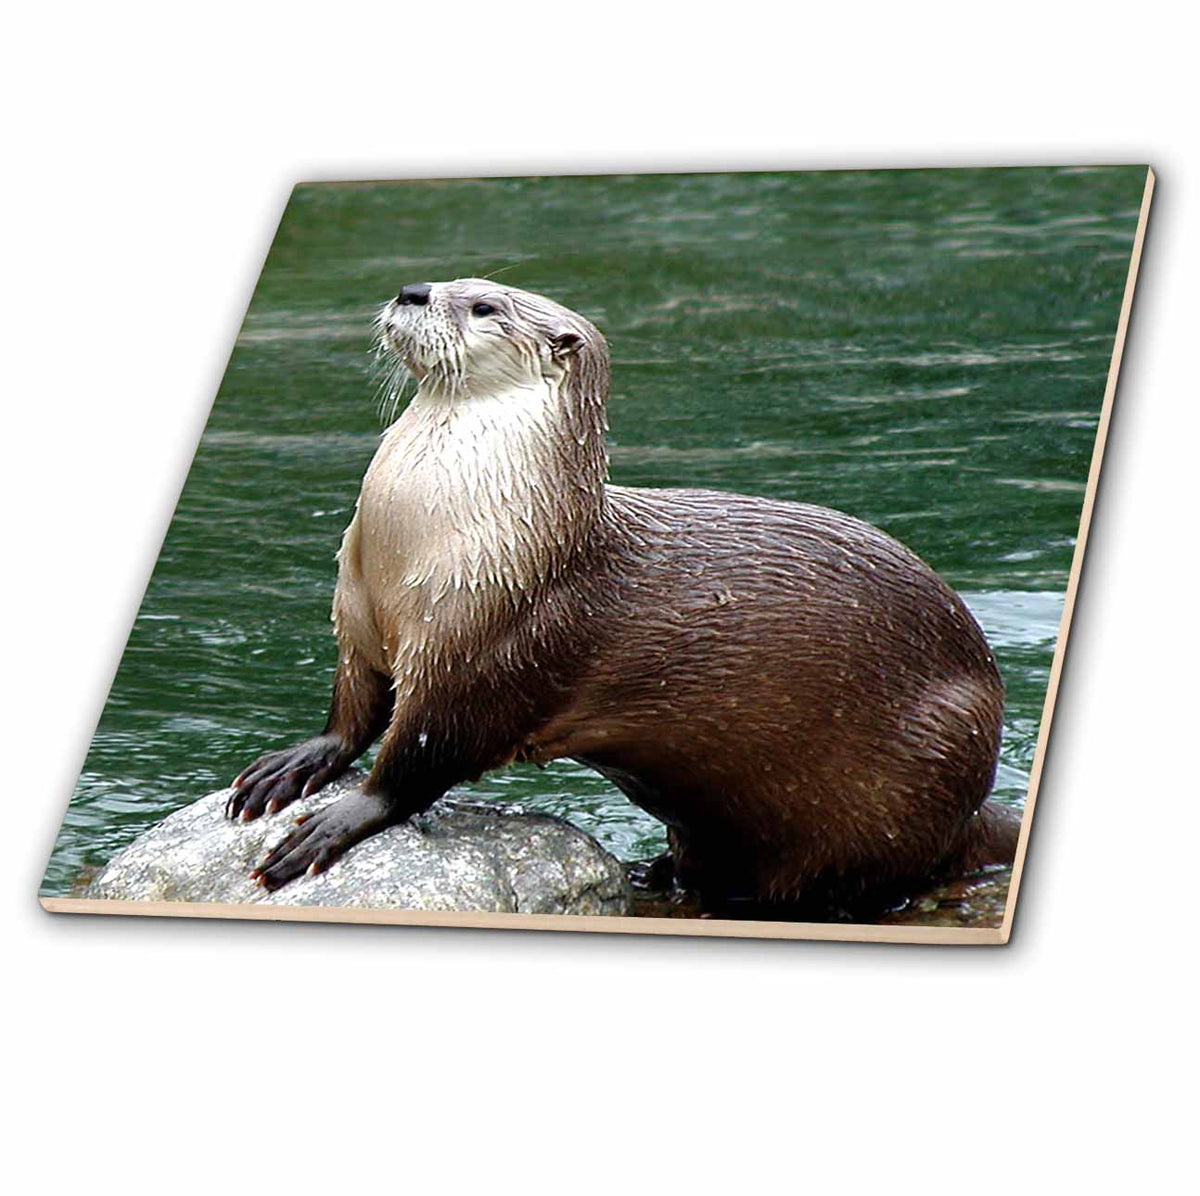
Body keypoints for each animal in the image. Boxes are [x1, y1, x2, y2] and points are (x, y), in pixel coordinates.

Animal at [227, 279, 1018, 917]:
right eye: (449, 280)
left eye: (483, 305)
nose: (413, 290)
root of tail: (975, 806)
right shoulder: (359, 616)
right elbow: (353, 710)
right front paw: (294, 764)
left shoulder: (486, 651)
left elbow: (418, 758)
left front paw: (340, 821)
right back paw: (658, 870)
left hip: (915, 771)